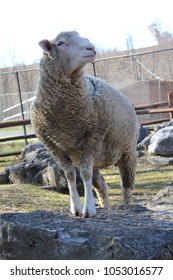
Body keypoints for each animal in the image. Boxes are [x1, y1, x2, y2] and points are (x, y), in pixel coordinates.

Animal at [31, 31, 139, 218]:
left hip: (127, 151)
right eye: (60, 43)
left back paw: (127, 205)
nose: (91, 48)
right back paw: (105, 206)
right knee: (101, 186)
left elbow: (85, 174)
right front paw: (75, 207)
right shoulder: (54, 147)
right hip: (95, 157)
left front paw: (88, 209)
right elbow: (70, 175)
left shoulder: (93, 137)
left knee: (126, 185)